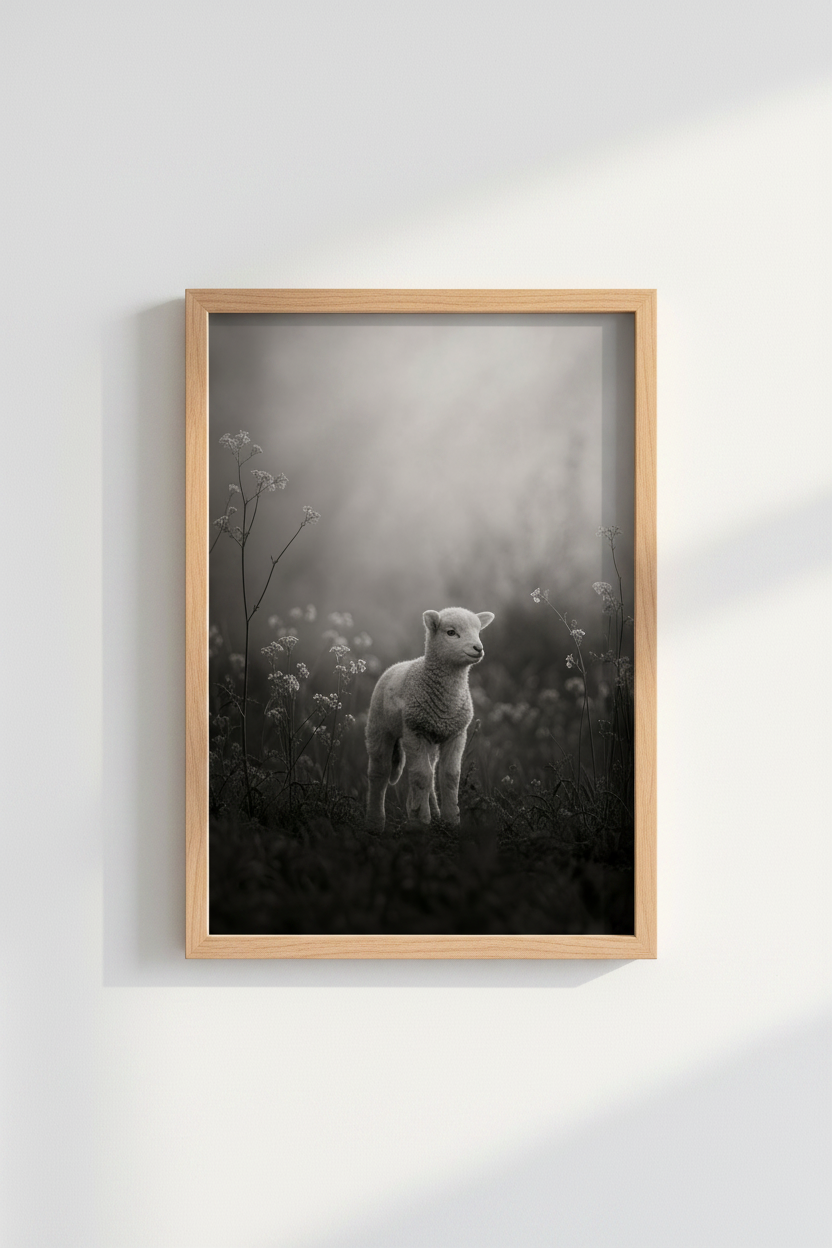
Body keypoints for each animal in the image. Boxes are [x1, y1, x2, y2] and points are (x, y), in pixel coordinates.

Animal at [365, 607, 495, 832]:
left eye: (479, 631)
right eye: (451, 632)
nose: (478, 648)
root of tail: (397, 665)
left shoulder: (456, 733)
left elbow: (450, 776)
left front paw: (450, 819)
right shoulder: (415, 731)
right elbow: (420, 776)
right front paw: (421, 820)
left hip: (431, 739)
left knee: (431, 771)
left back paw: (431, 811)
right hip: (379, 728)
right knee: (380, 773)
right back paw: (376, 821)